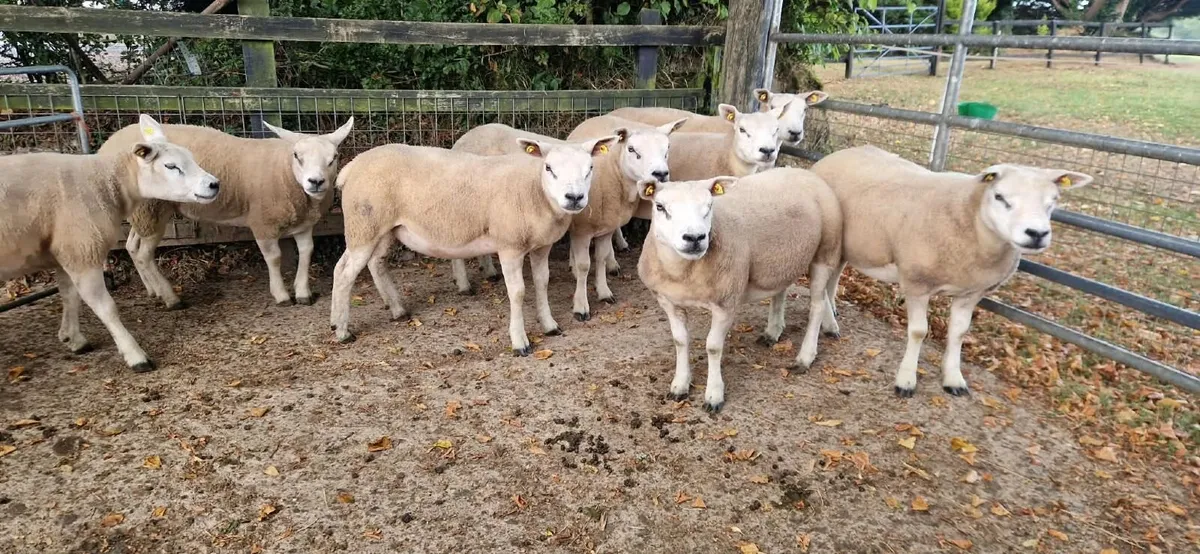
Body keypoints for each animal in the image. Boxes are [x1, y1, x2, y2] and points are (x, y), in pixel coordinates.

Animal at [0, 115, 220, 372]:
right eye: (170, 166)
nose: (214, 184)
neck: (104, 181)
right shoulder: (82, 249)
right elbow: (106, 307)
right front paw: (136, 356)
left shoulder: (67, 249)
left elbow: (69, 295)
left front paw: (73, 338)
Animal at [97, 118, 354, 308]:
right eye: (297, 156)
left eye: (334, 158)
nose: (316, 182)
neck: (287, 174)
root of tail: (107, 144)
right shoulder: (263, 222)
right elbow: (274, 258)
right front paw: (281, 295)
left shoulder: (304, 222)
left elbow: (306, 252)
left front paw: (303, 293)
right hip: (151, 208)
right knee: (144, 254)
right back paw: (171, 298)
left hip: (144, 212)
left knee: (132, 246)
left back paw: (153, 291)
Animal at [330, 135, 618, 355]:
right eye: (548, 168)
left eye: (590, 168)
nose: (574, 197)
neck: (535, 190)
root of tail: (351, 167)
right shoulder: (510, 245)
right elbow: (518, 292)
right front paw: (520, 342)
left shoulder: (540, 246)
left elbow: (542, 283)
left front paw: (549, 325)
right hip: (364, 225)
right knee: (344, 273)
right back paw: (342, 330)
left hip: (381, 229)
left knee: (369, 264)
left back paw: (392, 311)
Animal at [637, 168, 843, 412]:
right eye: (660, 206)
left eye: (710, 205)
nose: (695, 238)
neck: (683, 273)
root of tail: (805, 172)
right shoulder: (668, 301)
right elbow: (680, 340)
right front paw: (680, 385)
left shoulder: (726, 303)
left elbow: (713, 347)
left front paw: (714, 395)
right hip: (782, 261)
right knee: (782, 291)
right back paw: (773, 332)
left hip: (826, 250)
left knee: (817, 305)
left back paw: (805, 356)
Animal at [810, 145, 1093, 397]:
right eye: (1000, 197)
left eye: (1053, 201)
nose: (1036, 234)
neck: (973, 220)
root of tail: (837, 154)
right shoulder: (916, 282)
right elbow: (918, 332)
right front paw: (906, 381)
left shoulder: (972, 291)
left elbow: (959, 333)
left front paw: (954, 379)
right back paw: (829, 323)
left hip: (848, 248)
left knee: (833, 281)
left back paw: (830, 318)